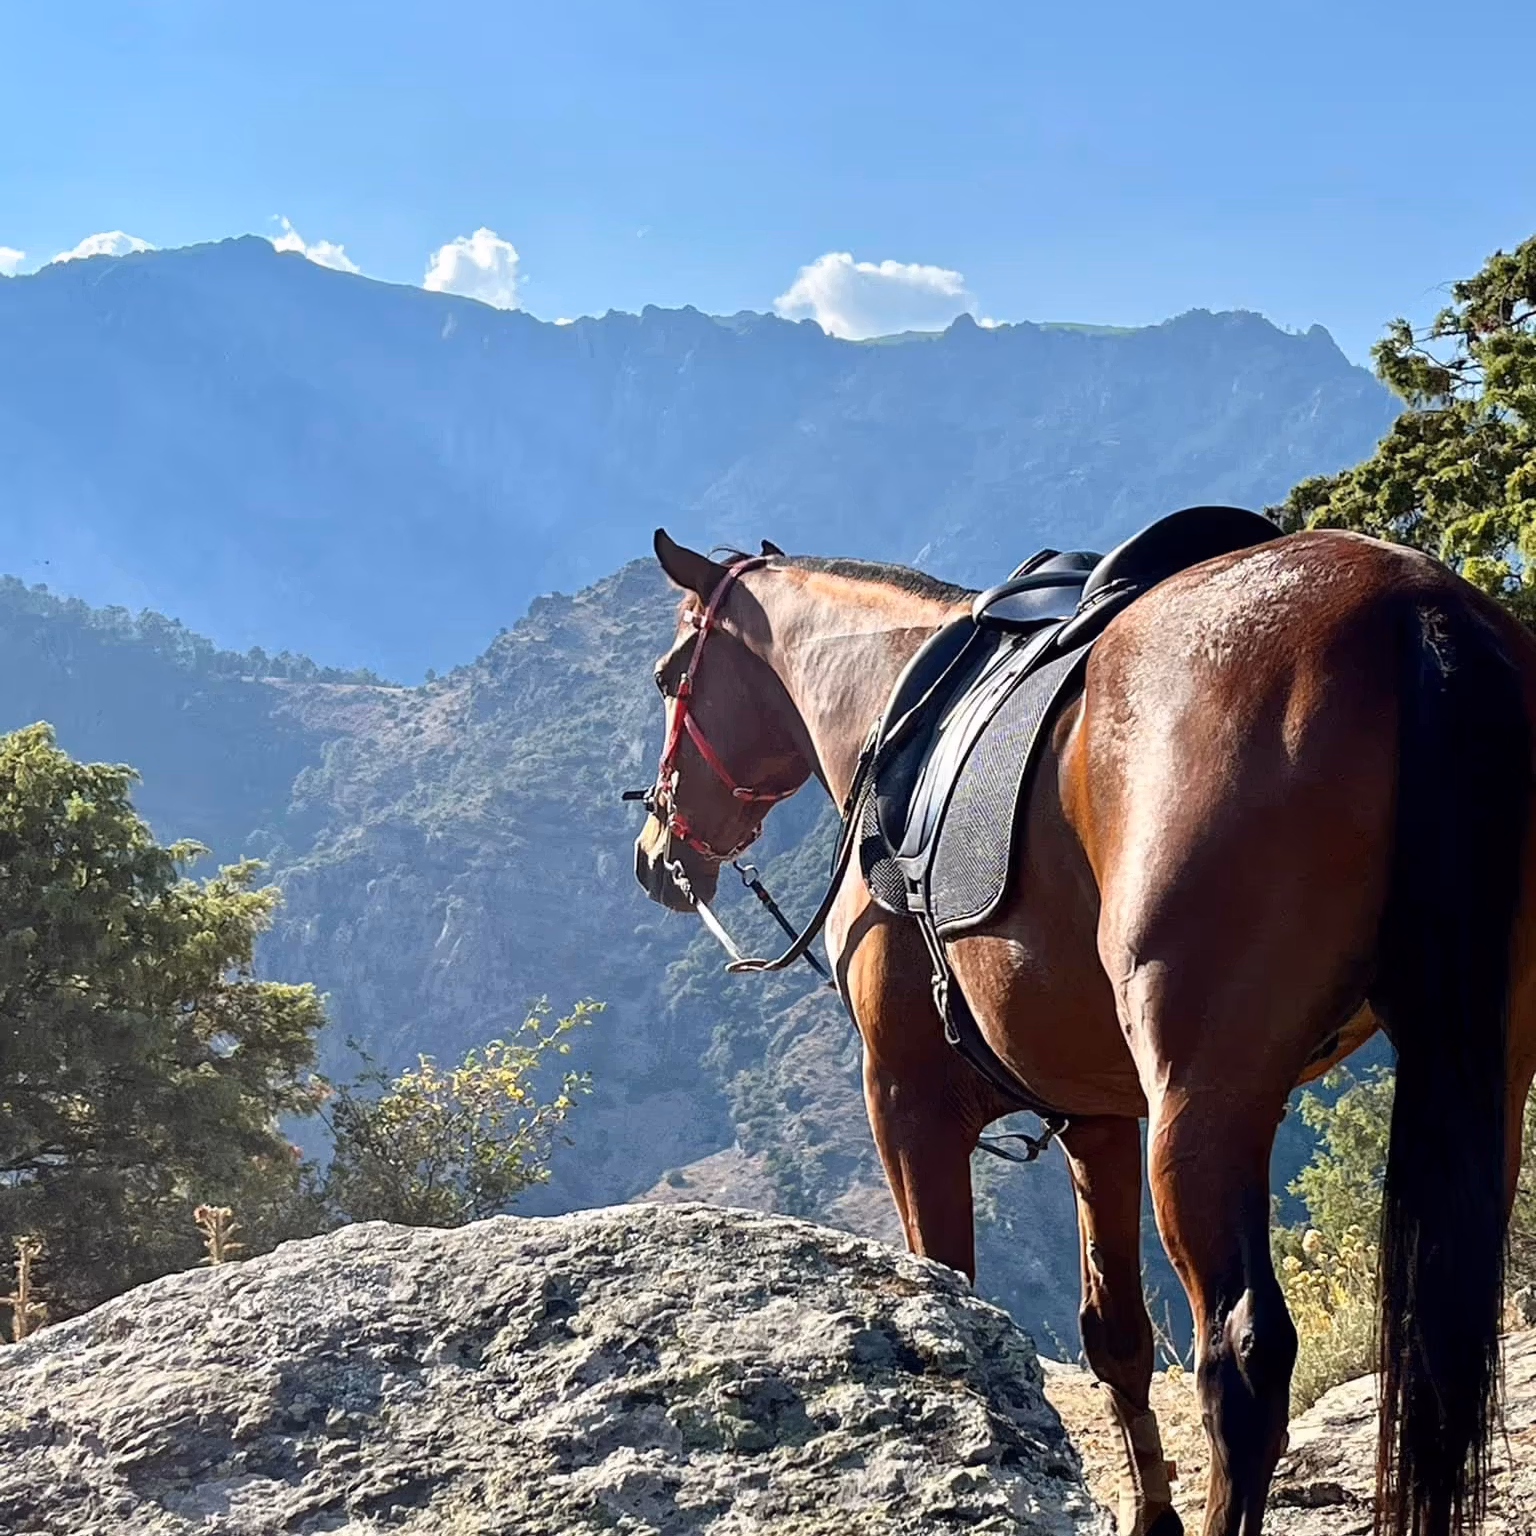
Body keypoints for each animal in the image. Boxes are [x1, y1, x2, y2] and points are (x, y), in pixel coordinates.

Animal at [631, 524, 1536, 1536]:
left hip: (1203, 1104)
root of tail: (1413, 609)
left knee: (1242, 1354)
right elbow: (1116, 1338)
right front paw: (1150, 1513)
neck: (893, 710)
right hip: (1484, 1074)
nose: (656, 855)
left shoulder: (907, 1103)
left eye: (670, 677)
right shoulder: (1094, 1117)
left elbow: (950, 1296)